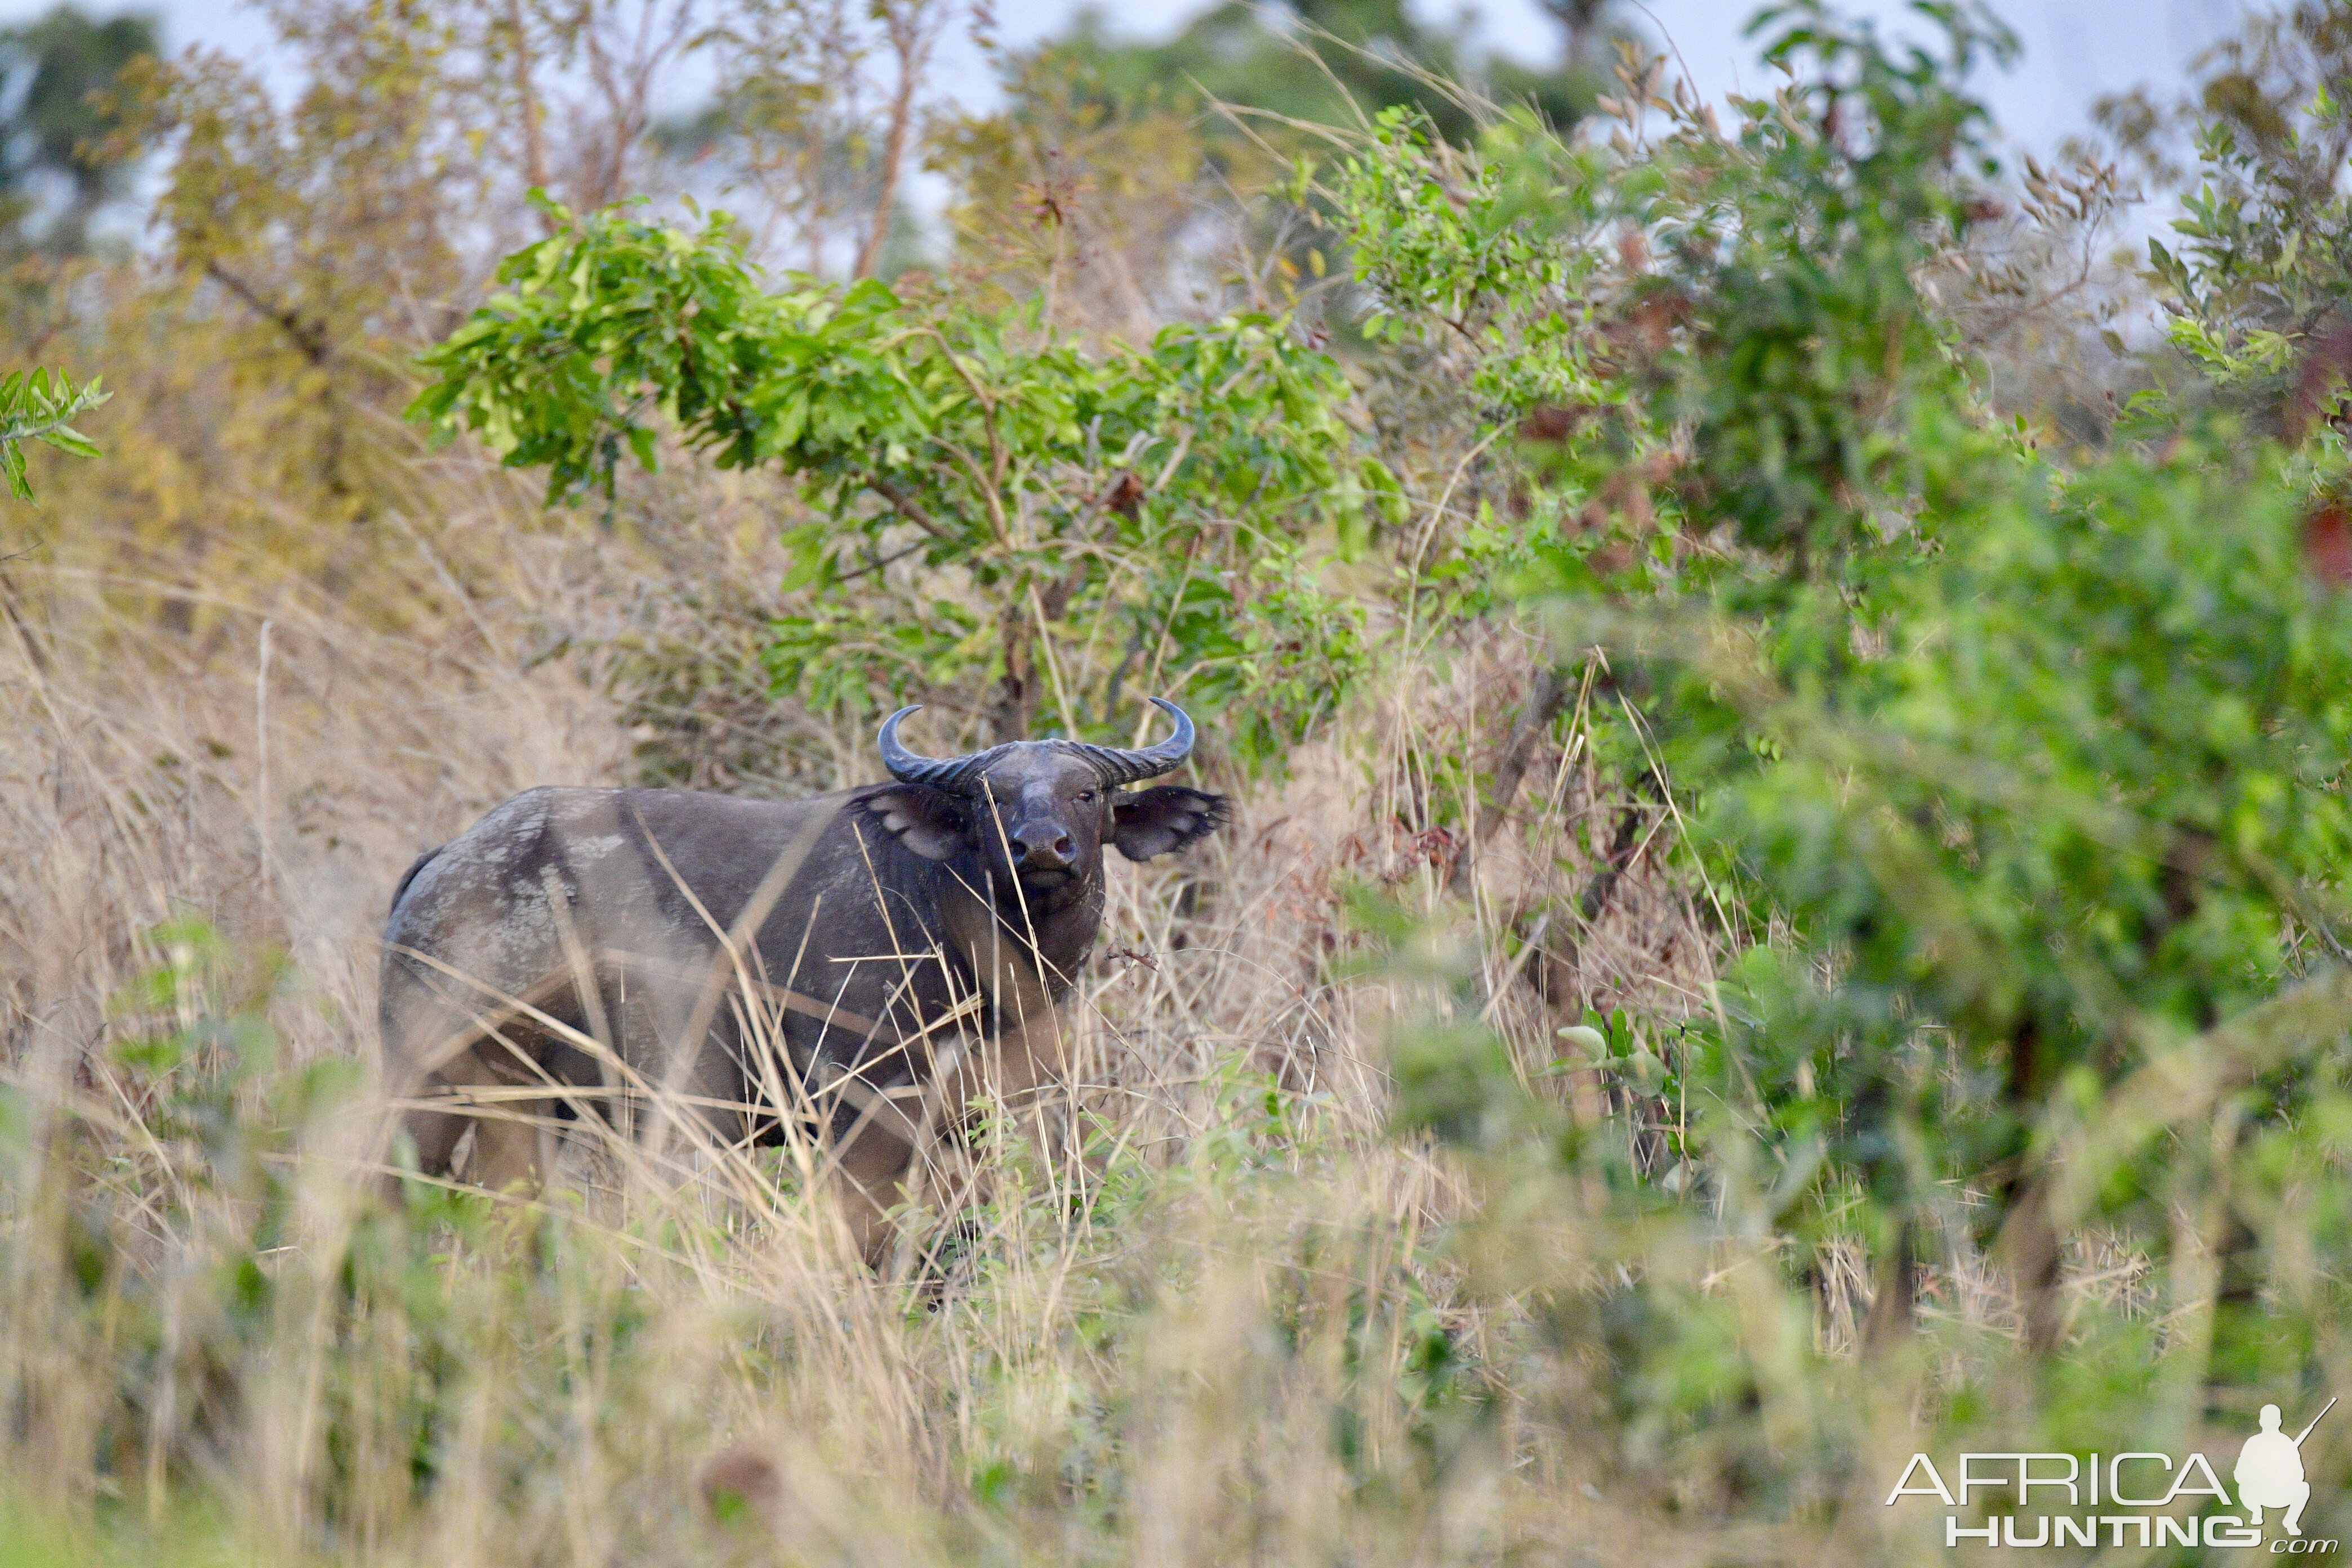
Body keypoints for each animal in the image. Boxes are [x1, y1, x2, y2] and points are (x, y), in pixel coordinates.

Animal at [381, 700, 1232, 1260]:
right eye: (992, 797)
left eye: (1087, 793)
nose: (1043, 847)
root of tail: (445, 862)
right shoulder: (859, 1111)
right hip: (429, 1086)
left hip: (526, 1108)